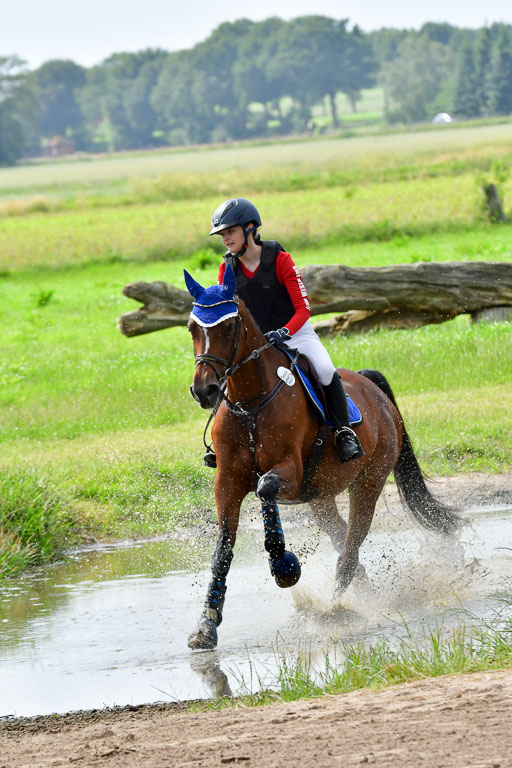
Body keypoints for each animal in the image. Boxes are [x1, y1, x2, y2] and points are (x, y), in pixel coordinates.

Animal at [184, 265, 461, 650]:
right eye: (192, 328)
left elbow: (266, 487)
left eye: (227, 327)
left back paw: (336, 607)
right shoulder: (228, 482)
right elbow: (223, 548)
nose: (204, 390)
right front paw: (206, 624)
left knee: (351, 544)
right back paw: (359, 595)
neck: (249, 404)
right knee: (343, 539)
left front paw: (283, 565)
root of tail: (372, 387)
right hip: (321, 496)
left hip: (369, 482)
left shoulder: (290, 472)